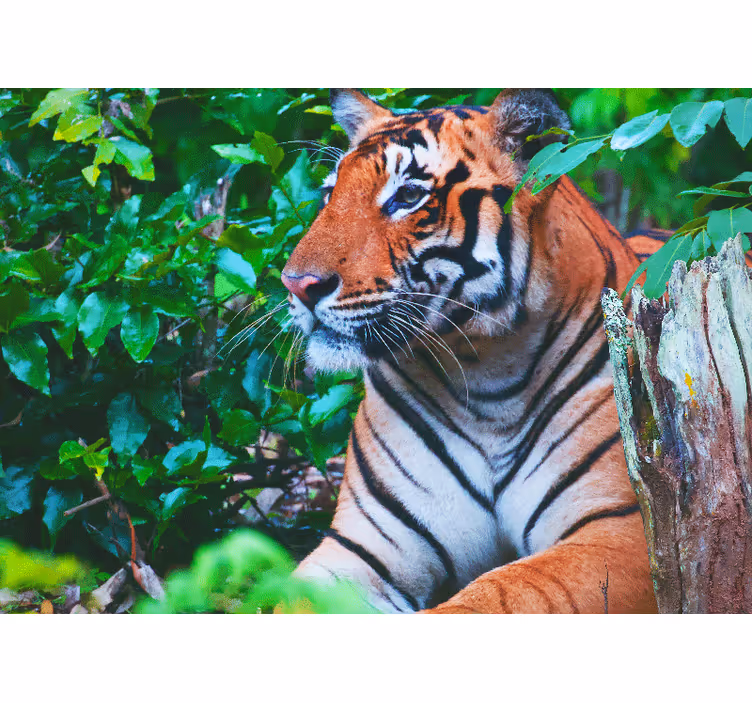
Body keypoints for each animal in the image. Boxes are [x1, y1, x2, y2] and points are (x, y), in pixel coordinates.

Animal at [279, 88, 658, 613]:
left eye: (407, 196)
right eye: (328, 195)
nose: (297, 284)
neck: (485, 376)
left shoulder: (620, 533)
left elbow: (497, 594)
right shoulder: (363, 545)